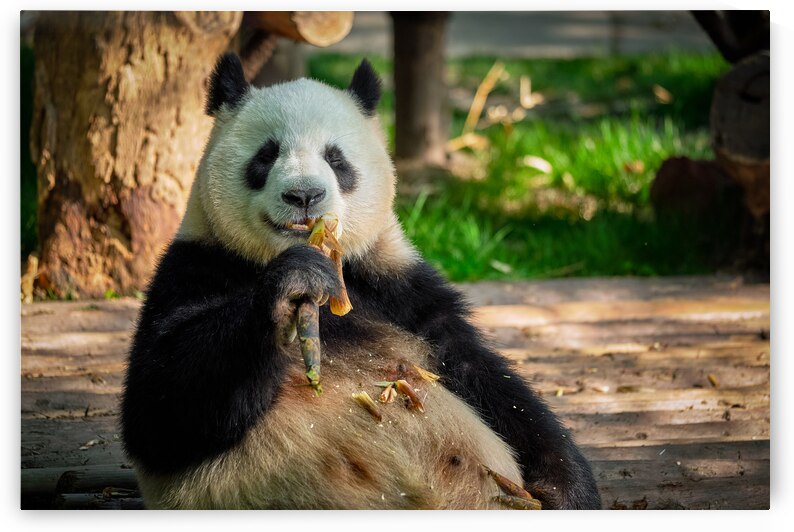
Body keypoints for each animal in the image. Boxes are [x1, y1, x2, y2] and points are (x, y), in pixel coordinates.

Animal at [120, 53, 601, 510]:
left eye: (336, 159)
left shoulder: (397, 288)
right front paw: (293, 283)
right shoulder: (194, 268)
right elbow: (159, 408)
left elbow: (484, 377)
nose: (305, 195)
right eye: (266, 155)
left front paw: (568, 488)